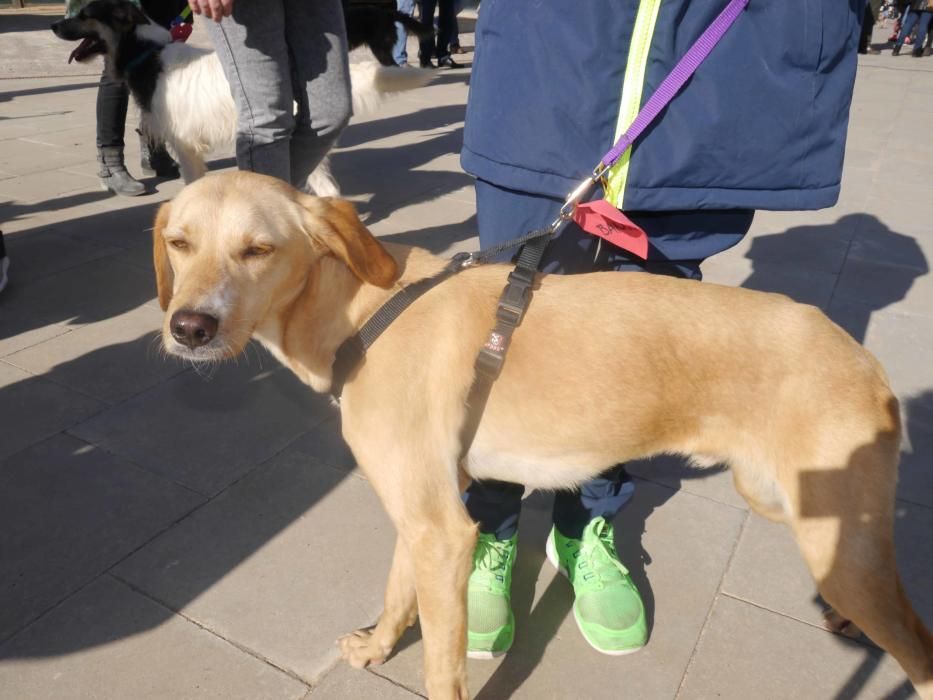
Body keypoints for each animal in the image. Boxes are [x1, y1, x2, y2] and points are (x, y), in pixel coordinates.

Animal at [155, 172, 932, 700]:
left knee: (918, 647)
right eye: (179, 243)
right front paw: (378, 646)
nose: (189, 328)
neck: (362, 310)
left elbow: (441, 668)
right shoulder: (423, 513)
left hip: (834, 541)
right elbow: (396, 591)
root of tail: (862, 358)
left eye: (258, 249)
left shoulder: (442, 531)